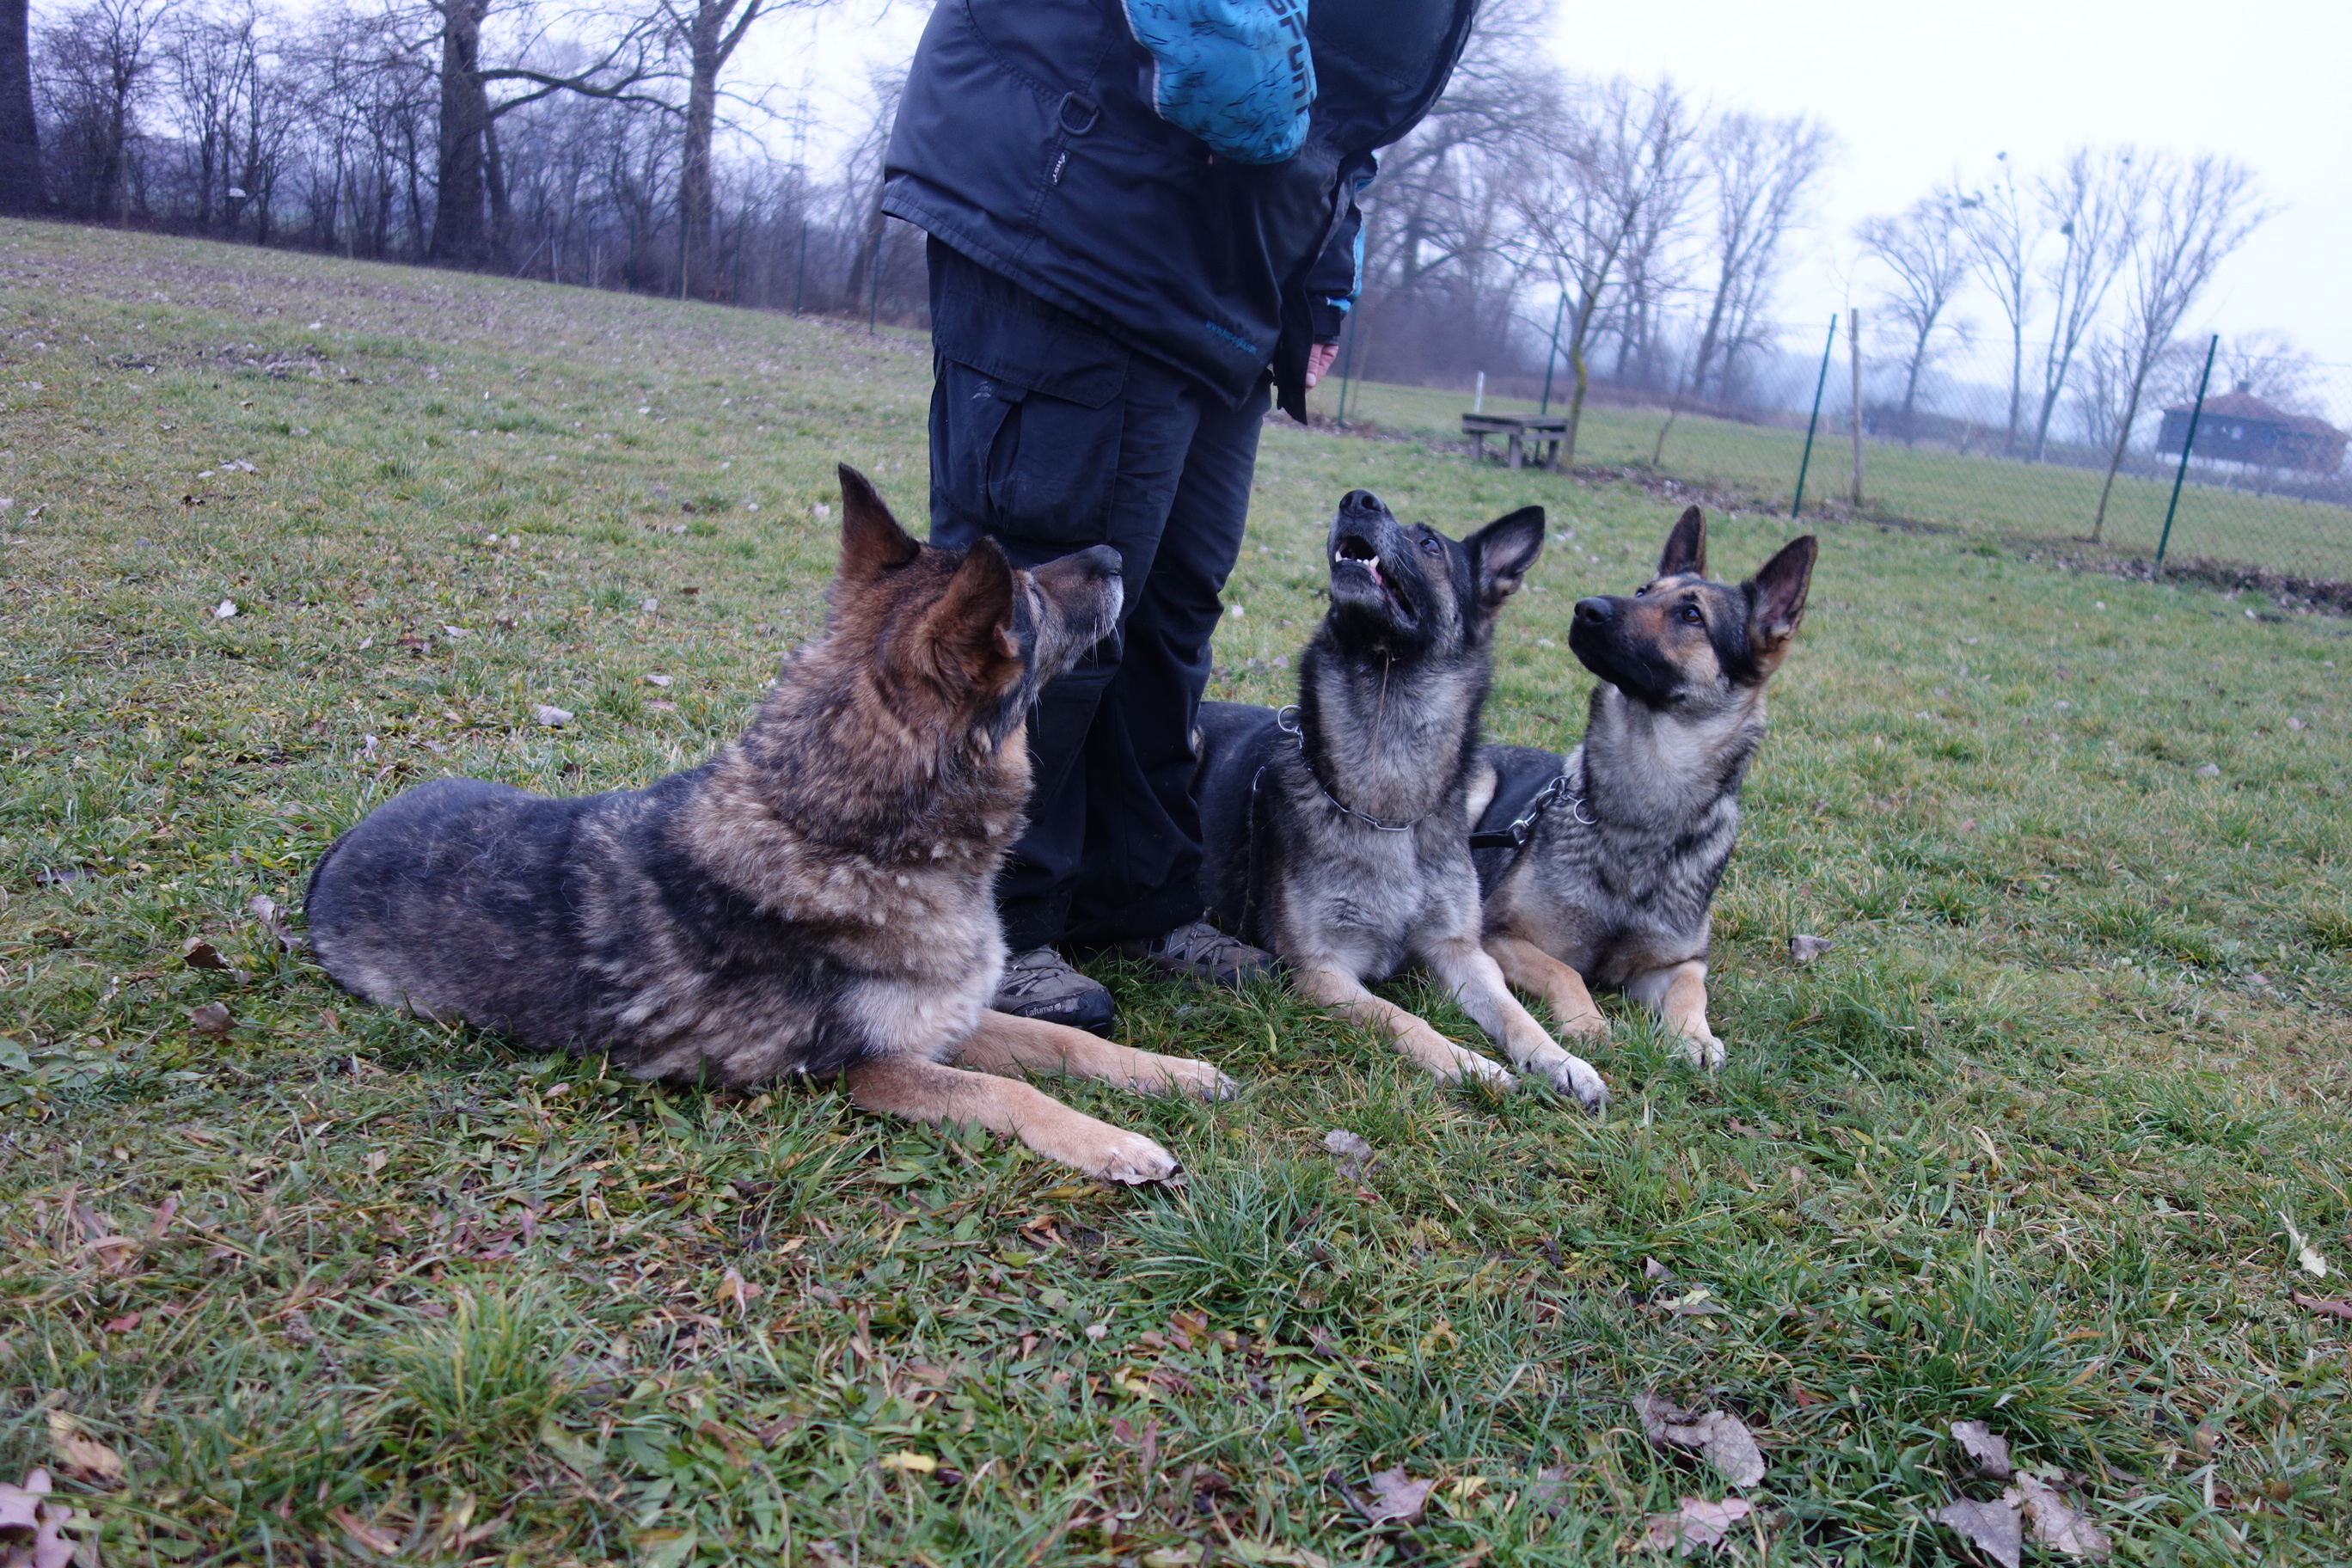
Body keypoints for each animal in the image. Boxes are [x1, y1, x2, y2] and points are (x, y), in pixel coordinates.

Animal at [305, 465, 1233, 1184]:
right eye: (1030, 596)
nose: (1115, 554)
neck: (838, 831)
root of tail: (339, 849)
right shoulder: (870, 1072)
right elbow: (1011, 1090)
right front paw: (1117, 1144)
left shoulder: (952, 1023)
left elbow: (1061, 1040)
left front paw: (1175, 1072)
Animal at [1194, 489, 1609, 1110]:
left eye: (1430, 544)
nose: (1358, 499)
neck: (1388, 810)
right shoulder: (1324, 971)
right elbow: (1402, 1017)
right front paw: (1472, 1066)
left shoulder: (1462, 951)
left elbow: (1515, 1014)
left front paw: (1562, 1061)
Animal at [1466, 505, 1816, 1069]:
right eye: (1642, 590)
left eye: (1692, 615)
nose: (1585, 608)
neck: (1642, 811)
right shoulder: (1499, 935)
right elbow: (1564, 970)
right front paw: (1587, 1023)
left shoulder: (1676, 962)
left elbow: (1692, 988)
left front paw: (1695, 1036)